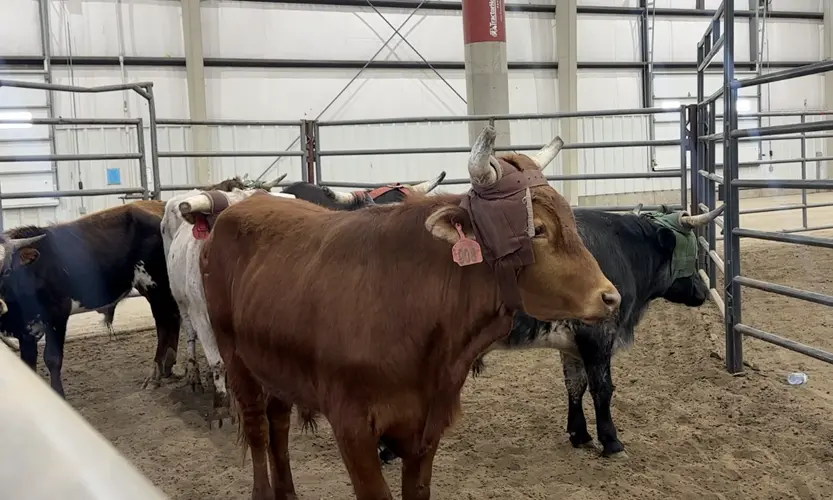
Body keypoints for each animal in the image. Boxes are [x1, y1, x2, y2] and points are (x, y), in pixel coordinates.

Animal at [165, 173, 446, 427]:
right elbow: (218, 363)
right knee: (190, 335)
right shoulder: (205, 318)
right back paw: (194, 376)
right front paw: (223, 408)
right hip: (183, 303)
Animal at [195, 125, 622, 500]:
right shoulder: (352, 427)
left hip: (275, 364)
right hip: (236, 359)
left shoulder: (426, 428)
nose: (610, 297)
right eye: (537, 229)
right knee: (257, 428)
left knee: (278, 422)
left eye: (570, 216)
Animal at [377, 202, 724, 463]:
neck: (620, 250)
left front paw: (579, 434)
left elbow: (575, 385)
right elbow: (602, 389)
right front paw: (612, 442)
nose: (702, 292)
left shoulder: (572, 344)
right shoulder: (598, 336)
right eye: (693, 255)